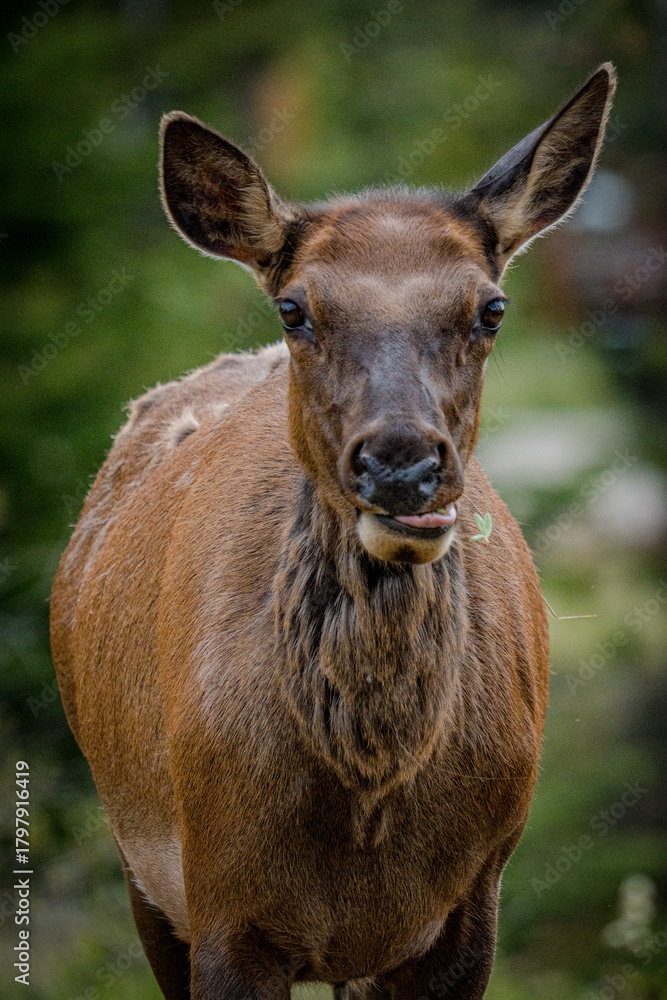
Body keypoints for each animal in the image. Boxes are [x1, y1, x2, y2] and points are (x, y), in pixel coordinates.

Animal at [50, 63, 616, 1000]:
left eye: (490, 308)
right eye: (294, 308)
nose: (401, 466)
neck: (368, 792)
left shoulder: (472, 906)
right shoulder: (220, 902)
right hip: (139, 863)